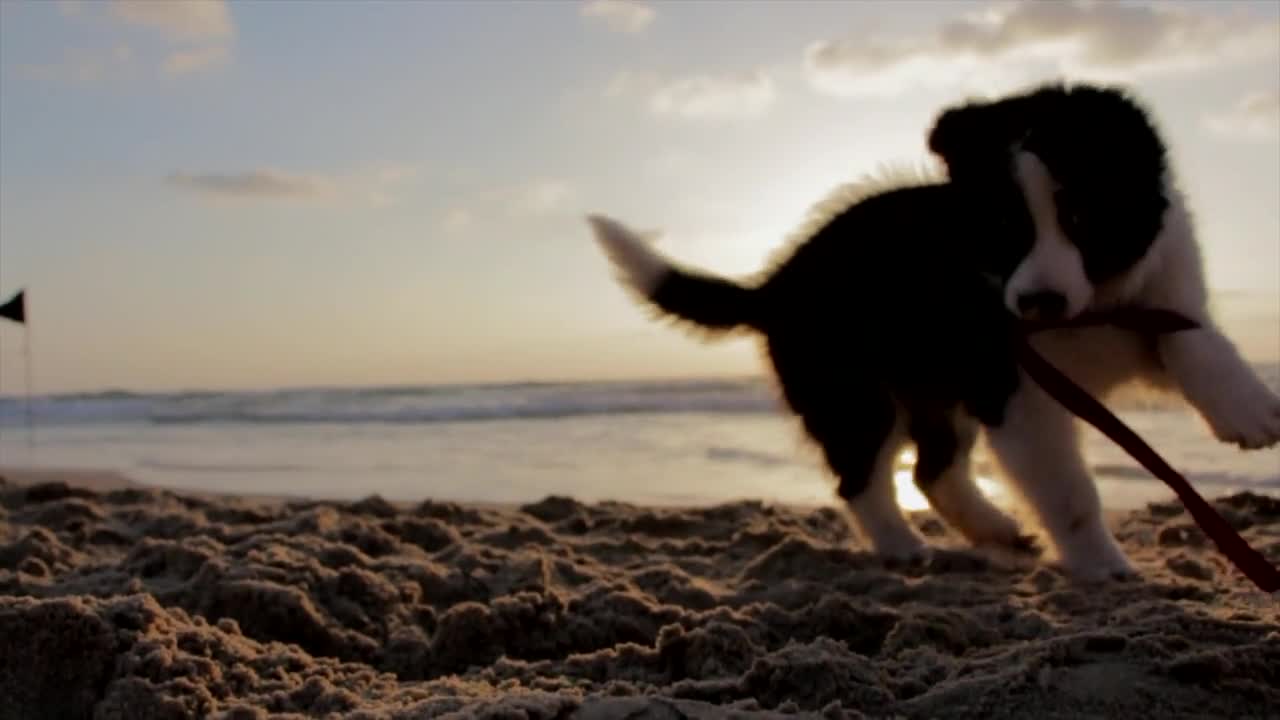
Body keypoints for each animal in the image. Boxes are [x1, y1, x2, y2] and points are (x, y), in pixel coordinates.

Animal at [926, 81, 1280, 579]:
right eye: (1003, 224)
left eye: (1080, 217)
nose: (1039, 302)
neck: (1087, 313)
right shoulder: (1017, 390)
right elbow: (1066, 489)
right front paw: (1102, 565)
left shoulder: (1158, 298)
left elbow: (1188, 332)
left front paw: (1246, 409)